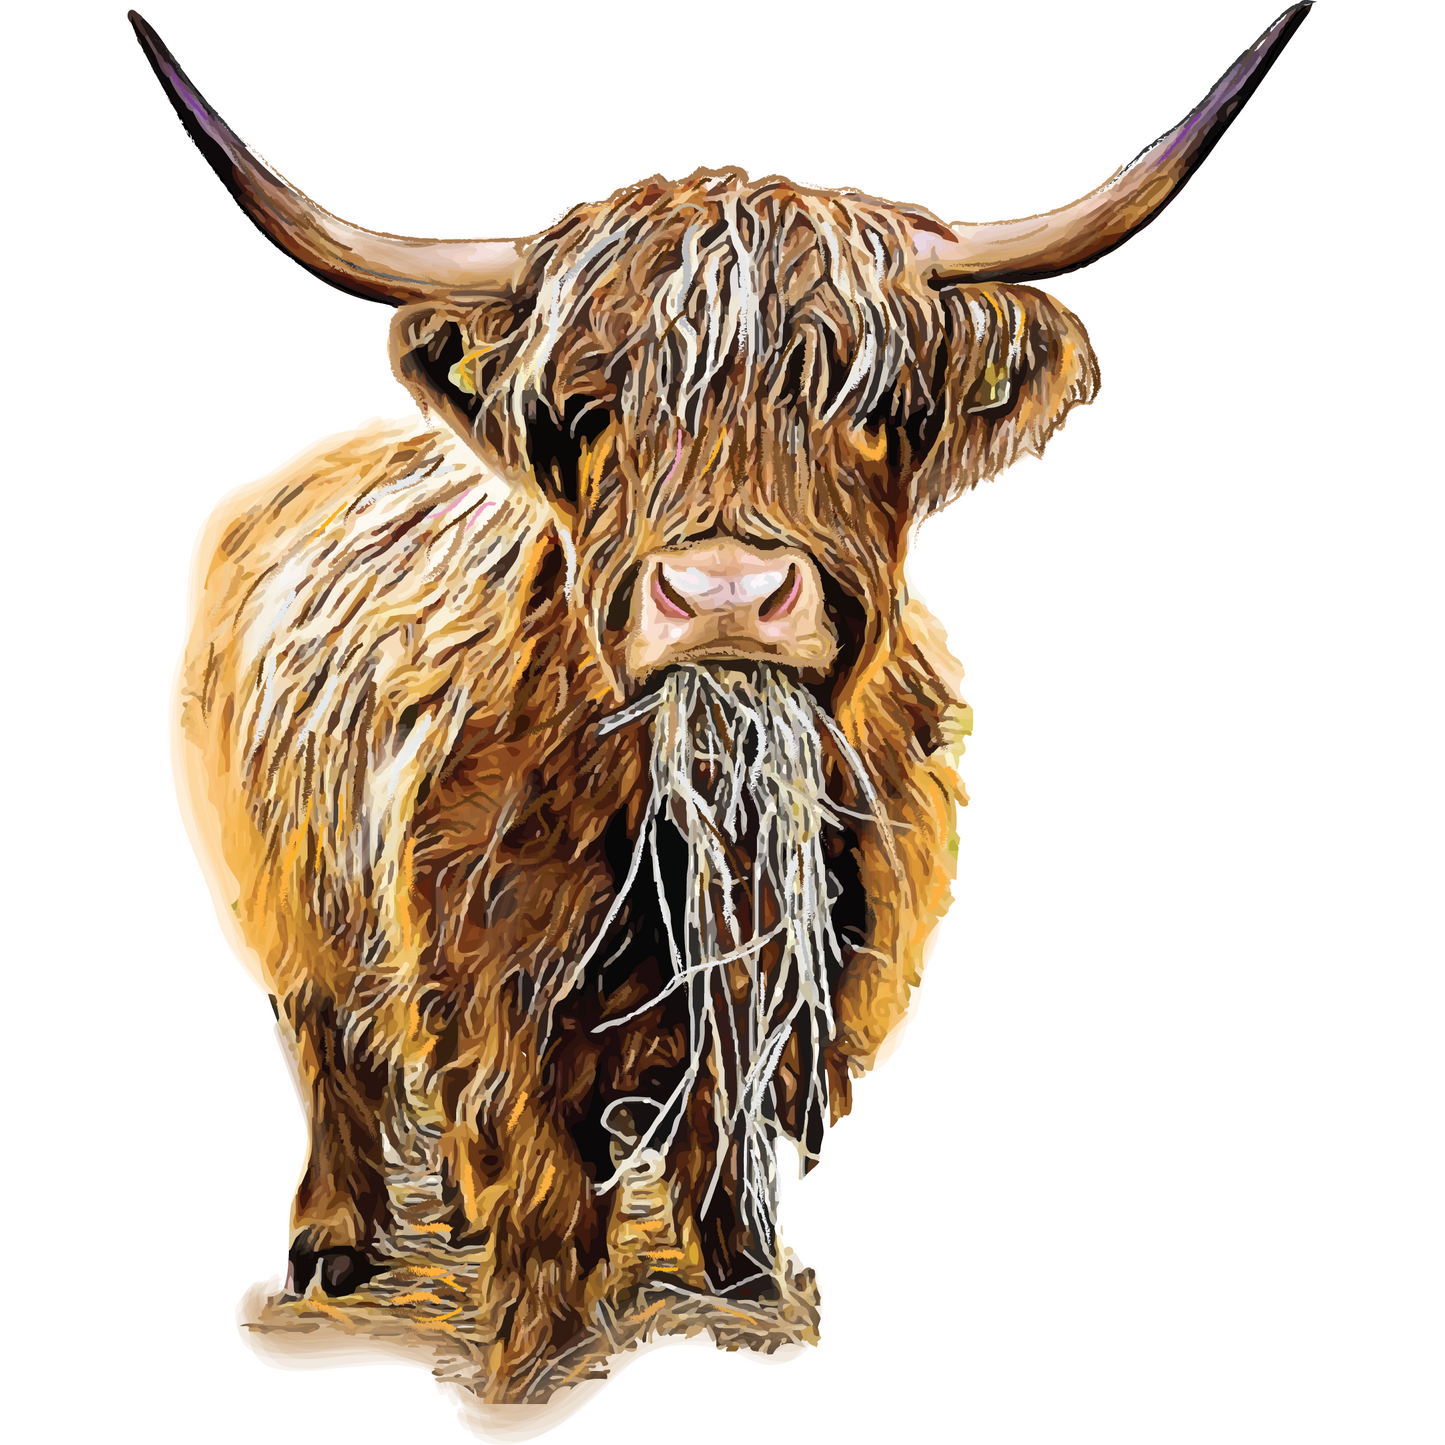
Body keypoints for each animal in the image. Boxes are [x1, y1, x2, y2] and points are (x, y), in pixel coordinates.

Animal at [134, 5, 1311, 1402]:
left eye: (871, 408)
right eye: (587, 411)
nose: (724, 593)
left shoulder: (807, 987)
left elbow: (723, 1167)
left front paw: (751, 1298)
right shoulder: (496, 994)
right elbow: (544, 1205)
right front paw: (529, 1363)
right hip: (281, 897)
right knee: (325, 1057)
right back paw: (332, 1241)